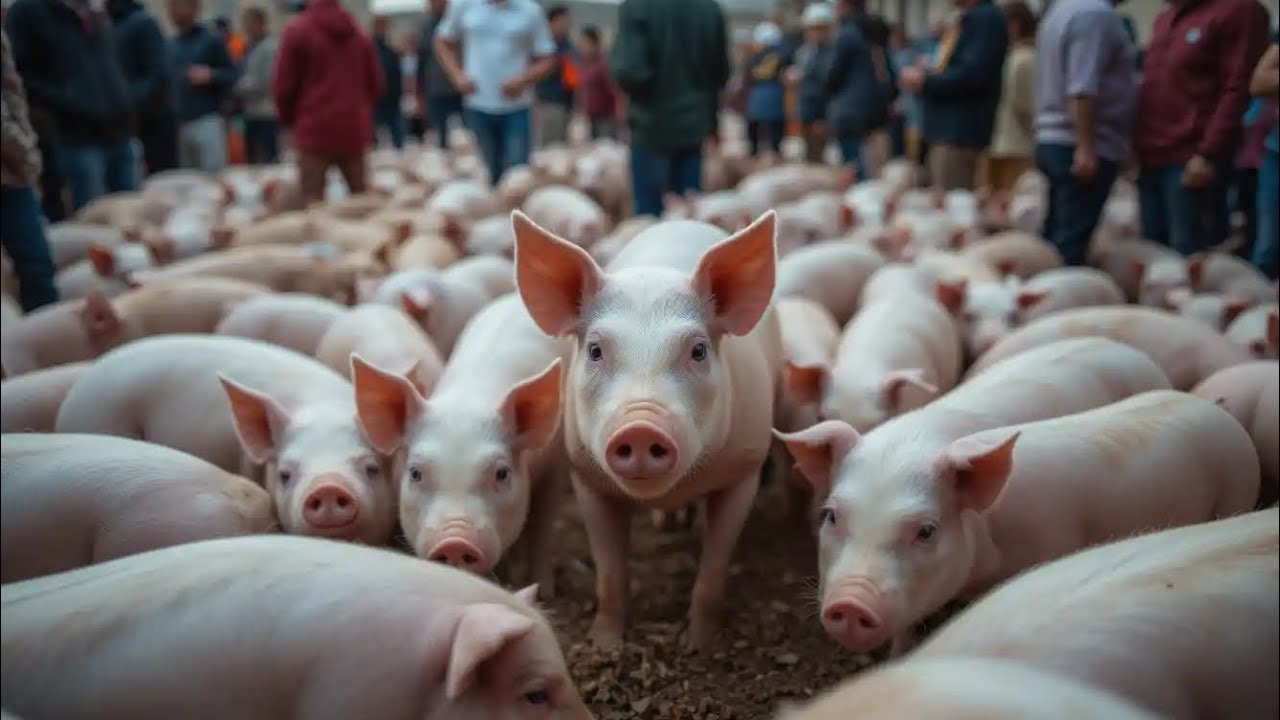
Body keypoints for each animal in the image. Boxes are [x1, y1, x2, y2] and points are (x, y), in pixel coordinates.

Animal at [352, 295, 567, 596]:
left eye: (502, 473)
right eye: (415, 473)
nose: (454, 542)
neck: (468, 400)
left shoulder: (554, 467)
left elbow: (542, 530)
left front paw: (540, 590)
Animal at [513, 210, 782, 649]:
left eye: (698, 350)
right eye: (595, 350)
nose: (640, 428)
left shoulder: (745, 470)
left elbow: (714, 569)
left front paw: (701, 646)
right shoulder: (586, 477)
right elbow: (609, 573)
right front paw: (603, 643)